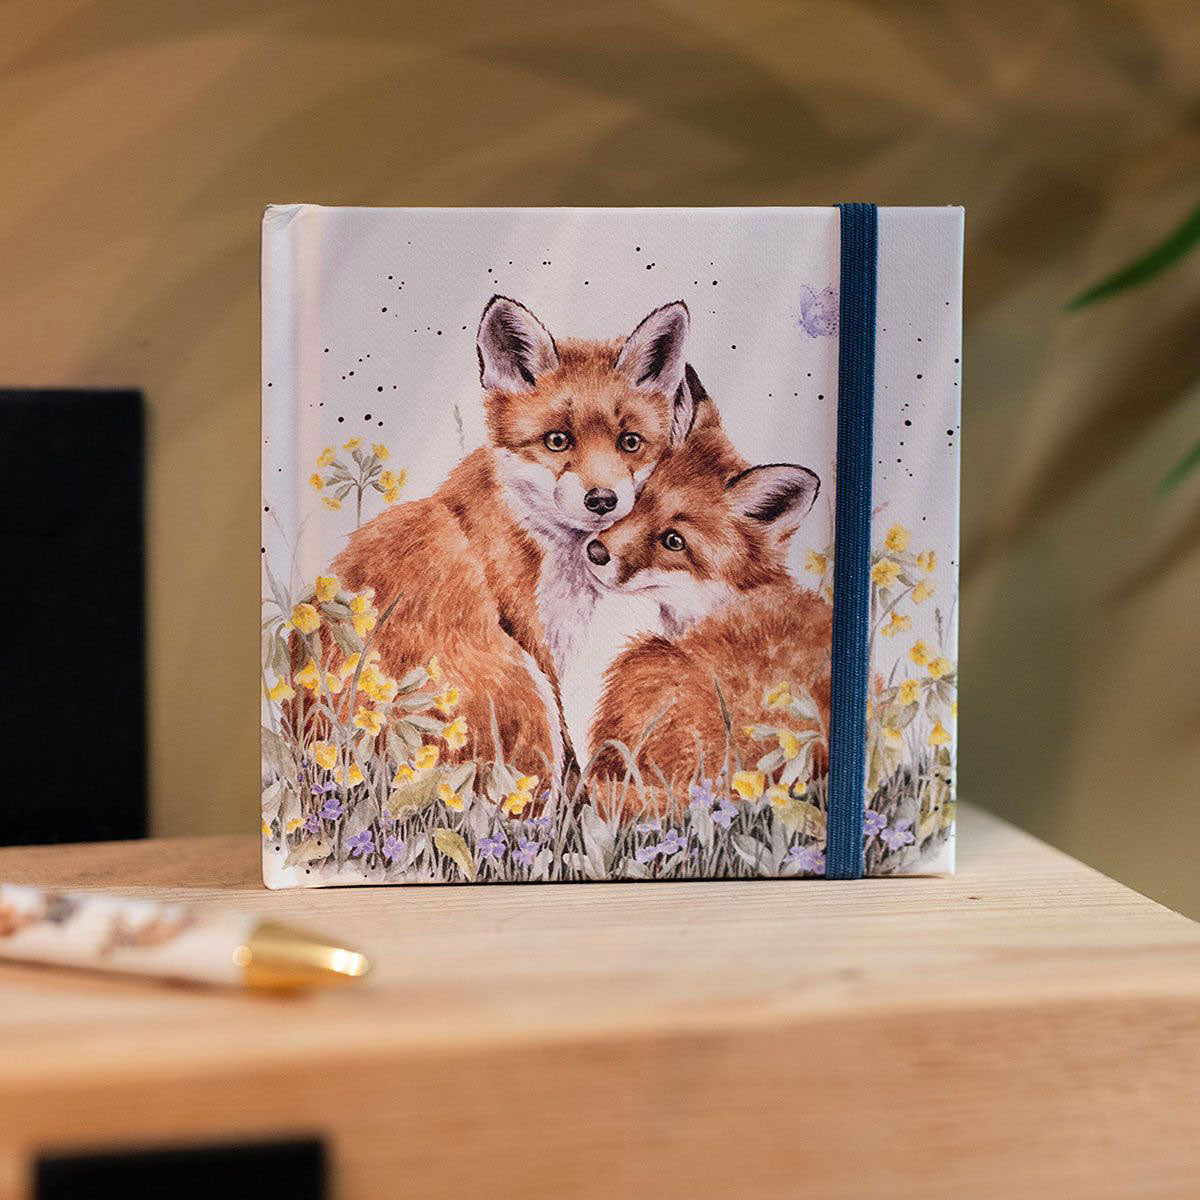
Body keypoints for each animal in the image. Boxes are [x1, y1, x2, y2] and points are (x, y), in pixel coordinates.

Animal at [323, 294, 697, 774]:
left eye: (630, 442)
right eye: (557, 440)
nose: (602, 500)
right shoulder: (532, 635)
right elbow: (566, 751)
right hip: (521, 682)